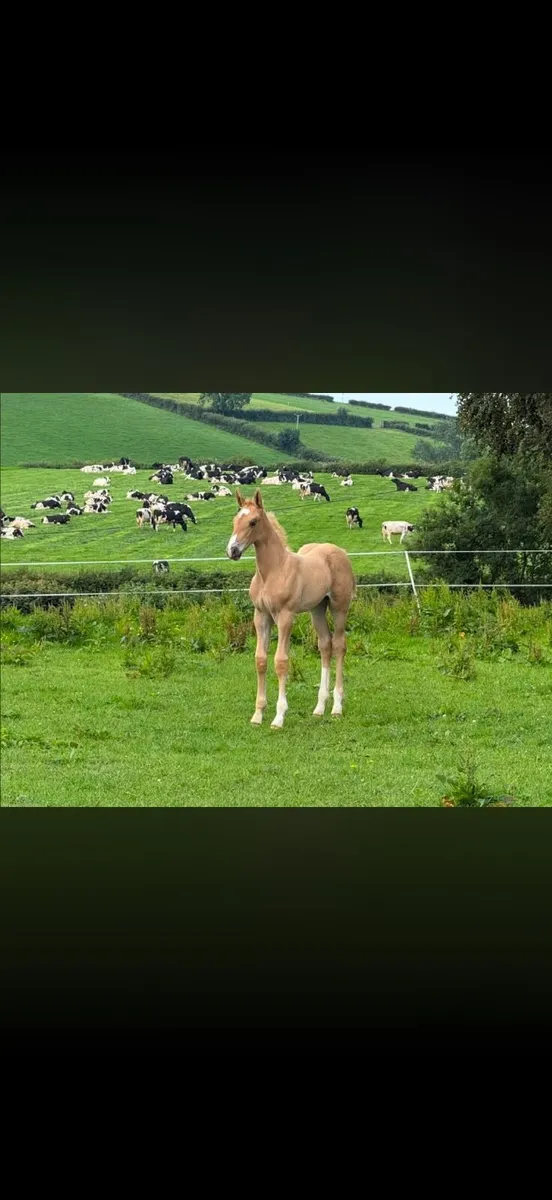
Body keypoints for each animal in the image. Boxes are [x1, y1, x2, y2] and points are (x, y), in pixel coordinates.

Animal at [227, 489, 356, 728]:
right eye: (235, 520)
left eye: (252, 522)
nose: (232, 551)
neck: (273, 571)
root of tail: (340, 551)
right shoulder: (261, 616)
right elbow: (260, 660)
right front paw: (258, 714)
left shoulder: (286, 617)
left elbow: (281, 661)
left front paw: (279, 716)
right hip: (317, 609)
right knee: (325, 645)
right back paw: (319, 708)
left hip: (339, 607)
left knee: (339, 645)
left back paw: (336, 707)